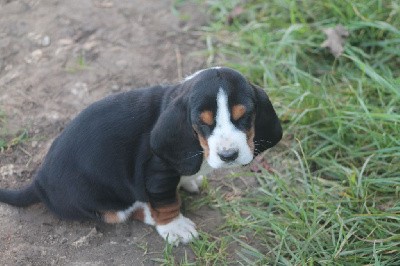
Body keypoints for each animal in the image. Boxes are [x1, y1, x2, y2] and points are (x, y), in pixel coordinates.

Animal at [0, 66, 282, 245]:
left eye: (245, 116)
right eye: (202, 123)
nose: (228, 155)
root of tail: (39, 182)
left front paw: (191, 180)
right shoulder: (158, 175)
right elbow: (167, 203)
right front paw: (175, 228)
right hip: (101, 202)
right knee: (123, 213)